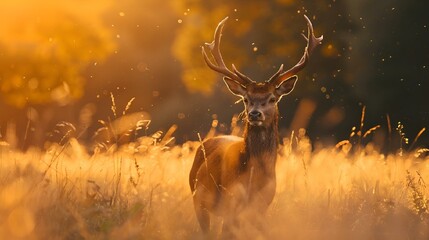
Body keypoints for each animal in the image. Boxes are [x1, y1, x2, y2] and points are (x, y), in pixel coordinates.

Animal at [188, 15, 320, 238]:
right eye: (246, 99)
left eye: (272, 98)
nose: (254, 114)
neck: (254, 176)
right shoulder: (229, 202)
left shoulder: (261, 206)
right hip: (199, 198)